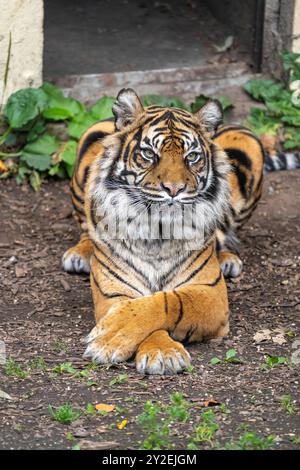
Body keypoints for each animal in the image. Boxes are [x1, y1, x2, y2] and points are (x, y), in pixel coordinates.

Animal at [61, 88, 300, 374]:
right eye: (149, 154)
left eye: (192, 156)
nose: (174, 189)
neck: (157, 232)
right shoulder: (113, 293)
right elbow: (139, 308)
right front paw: (153, 349)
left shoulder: (212, 294)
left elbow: (164, 301)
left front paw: (145, 346)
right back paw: (80, 254)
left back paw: (227, 258)